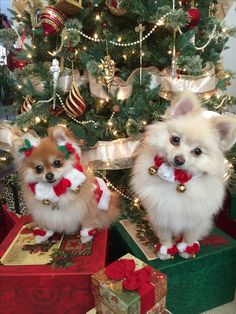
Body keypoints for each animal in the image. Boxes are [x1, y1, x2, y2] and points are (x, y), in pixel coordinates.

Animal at [131, 92, 236, 258]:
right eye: (175, 140)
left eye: (197, 151)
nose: (179, 160)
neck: (177, 178)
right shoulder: (161, 215)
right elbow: (165, 237)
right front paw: (166, 252)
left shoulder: (195, 219)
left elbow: (189, 237)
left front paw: (186, 251)